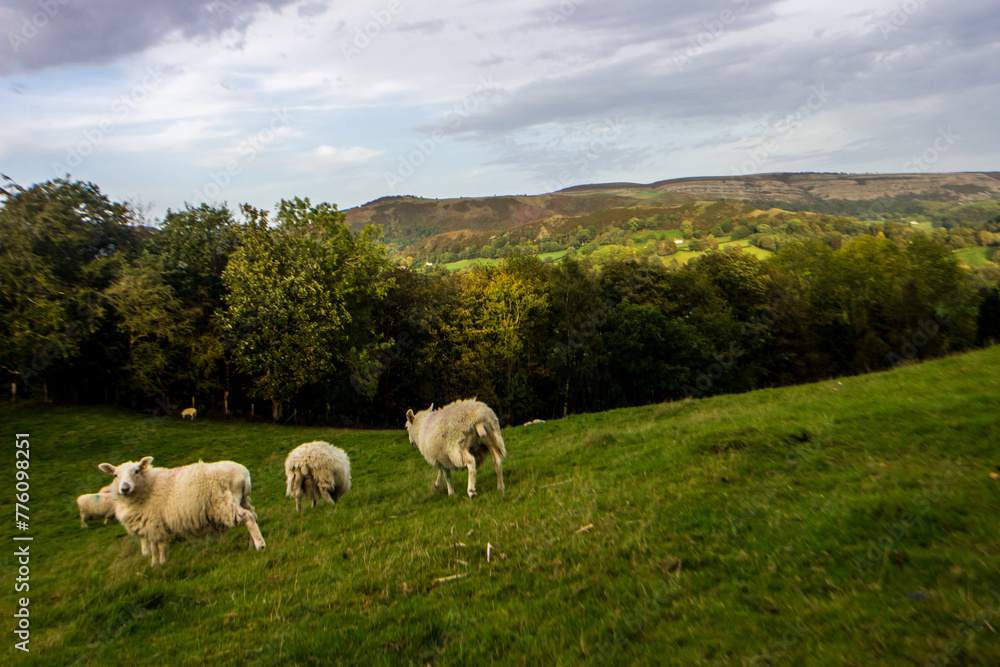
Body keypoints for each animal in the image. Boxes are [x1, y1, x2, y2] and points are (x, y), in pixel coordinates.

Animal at [97, 456, 266, 567]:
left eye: (137, 471)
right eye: (115, 475)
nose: (124, 488)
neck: (147, 487)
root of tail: (243, 474)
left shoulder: (155, 523)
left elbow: (158, 547)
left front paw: (159, 565)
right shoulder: (153, 525)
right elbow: (156, 546)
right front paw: (157, 565)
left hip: (224, 504)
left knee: (248, 518)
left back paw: (260, 546)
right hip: (242, 499)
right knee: (254, 515)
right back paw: (251, 545)